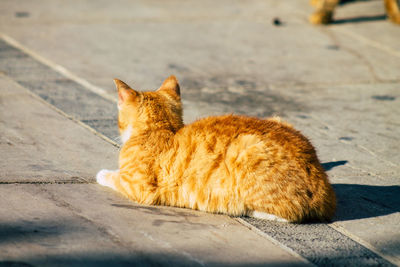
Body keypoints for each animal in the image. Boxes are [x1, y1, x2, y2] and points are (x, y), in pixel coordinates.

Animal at [96, 76, 334, 224]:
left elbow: (113, 176)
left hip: (247, 150)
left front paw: (103, 174)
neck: (161, 129)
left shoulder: (138, 187)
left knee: (292, 213)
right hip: (279, 120)